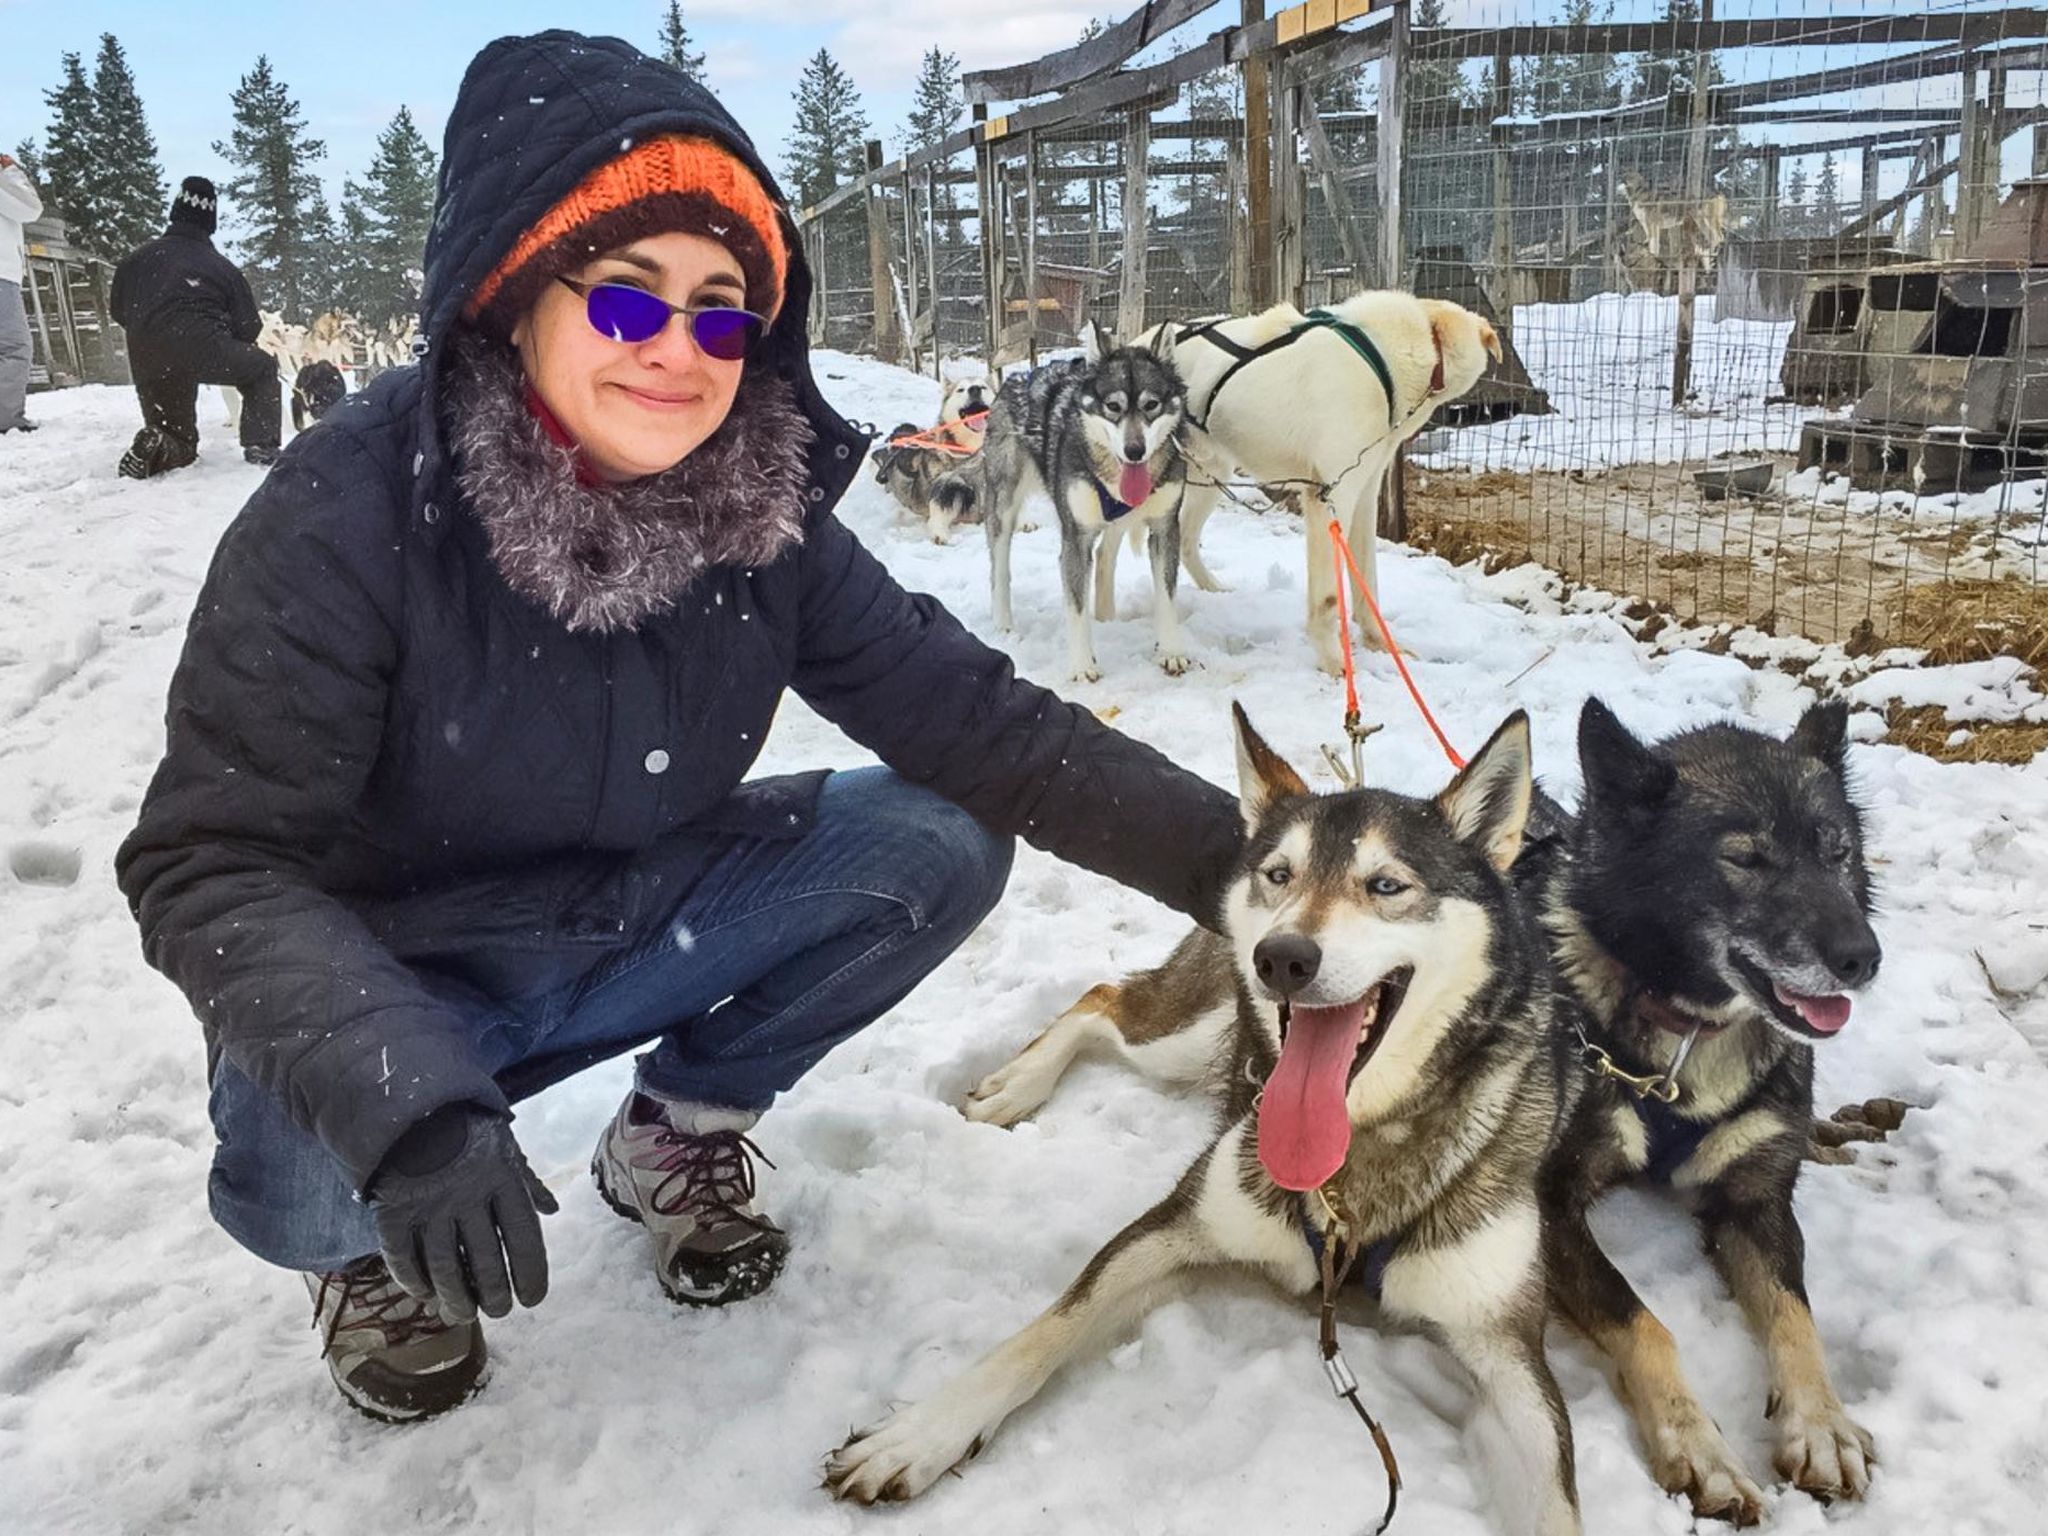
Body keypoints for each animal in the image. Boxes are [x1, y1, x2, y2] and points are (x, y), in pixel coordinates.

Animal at [827, 706, 1585, 1536]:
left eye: (1387, 884)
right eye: (1280, 875)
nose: (1281, 956)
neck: (1354, 1162)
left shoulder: (1509, 1351)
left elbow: (1557, 1497)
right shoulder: (1174, 1227)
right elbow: (1047, 1327)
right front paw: (921, 1432)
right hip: (1189, 1032)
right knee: (1102, 1001)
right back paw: (1015, 1084)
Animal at [933, 328, 1192, 681]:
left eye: (1151, 404)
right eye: (1113, 406)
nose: (1135, 450)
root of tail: (1018, 377)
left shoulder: (1165, 529)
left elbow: (1166, 597)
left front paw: (1170, 651)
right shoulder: (1076, 539)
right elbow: (1076, 606)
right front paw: (1083, 666)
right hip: (1002, 509)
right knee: (999, 570)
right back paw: (1004, 623)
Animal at [1122, 293, 1501, 677]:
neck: (1382, 358)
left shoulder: (1364, 496)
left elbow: (1367, 582)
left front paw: (1379, 643)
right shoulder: (1329, 497)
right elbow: (1329, 598)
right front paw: (1334, 662)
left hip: (1212, 475)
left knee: (1185, 539)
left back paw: (1211, 588)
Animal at [1526, 697, 1881, 1525]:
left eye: (1838, 851)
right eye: (1746, 860)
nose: (1863, 958)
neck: (1693, 1031)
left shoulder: (1754, 1202)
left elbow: (1796, 1317)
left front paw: (1822, 1424)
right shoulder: (1548, 1202)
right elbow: (1643, 1322)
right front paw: (1699, 1448)